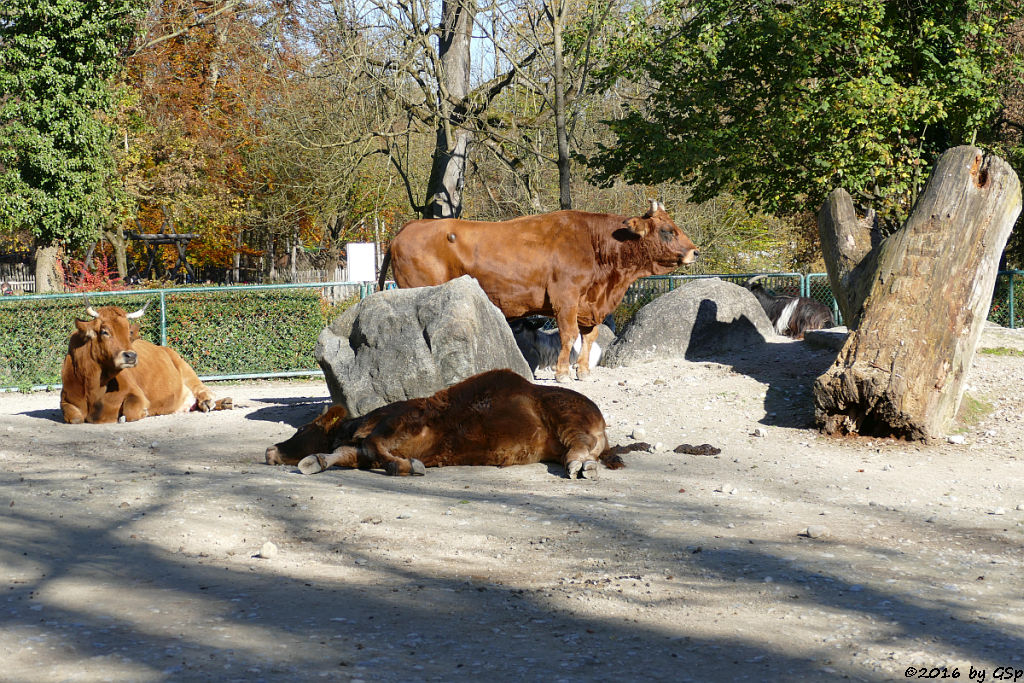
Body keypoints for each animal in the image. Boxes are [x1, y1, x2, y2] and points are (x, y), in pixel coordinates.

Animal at [59, 301, 232, 423]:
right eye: (104, 331)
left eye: (129, 332)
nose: (131, 356)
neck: (93, 385)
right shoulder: (65, 400)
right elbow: (75, 418)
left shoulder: (137, 394)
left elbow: (130, 412)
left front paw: (144, 412)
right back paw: (225, 403)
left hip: (186, 370)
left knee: (202, 390)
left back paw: (211, 402)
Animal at [264, 368, 622, 481]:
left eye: (301, 430)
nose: (270, 450)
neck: (355, 425)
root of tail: (601, 418)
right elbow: (349, 454)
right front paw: (316, 460)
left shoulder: (404, 421)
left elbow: (374, 446)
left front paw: (407, 466)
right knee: (582, 452)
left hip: (568, 421)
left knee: (579, 447)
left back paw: (581, 467)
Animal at [380, 200, 700, 382]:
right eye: (668, 231)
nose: (695, 251)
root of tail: (407, 229)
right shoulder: (565, 299)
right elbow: (568, 335)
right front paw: (562, 373)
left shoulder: (590, 305)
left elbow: (589, 336)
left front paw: (583, 370)